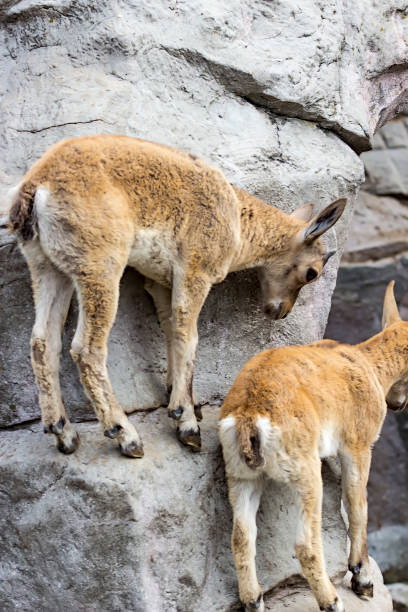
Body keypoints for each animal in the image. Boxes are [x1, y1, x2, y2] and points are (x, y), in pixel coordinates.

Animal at [7, 135, 344, 460]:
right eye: (312, 273)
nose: (281, 310)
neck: (236, 221)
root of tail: (37, 187)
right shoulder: (195, 271)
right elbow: (189, 335)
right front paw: (187, 425)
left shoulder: (158, 281)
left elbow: (170, 330)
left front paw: (180, 398)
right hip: (99, 266)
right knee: (86, 349)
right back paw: (126, 436)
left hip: (47, 267)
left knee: (42, 342)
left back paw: (63, 433)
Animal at [220, 282, 408, 612]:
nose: (398, 404)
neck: (369, 366)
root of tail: (249, 416)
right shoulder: (358, 445)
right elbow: (358, 506)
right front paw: (363, 580)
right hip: (305, 472)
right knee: (305, 542)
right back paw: (332, 601)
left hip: (242, 475)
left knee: (241, 536)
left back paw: (254, 600)